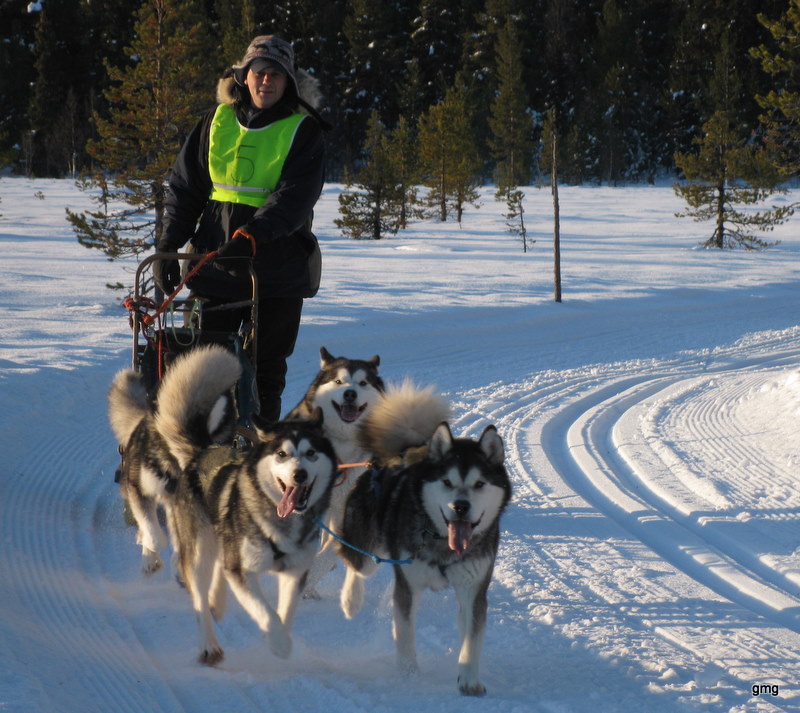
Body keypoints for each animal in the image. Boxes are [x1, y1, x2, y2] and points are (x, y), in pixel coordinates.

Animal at [336, 383, 512, 696]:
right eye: (447, 482)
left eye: (479, 484)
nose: (460, 507)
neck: (442, 543)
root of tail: (403, 453)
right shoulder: (407, 586)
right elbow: (405, 635)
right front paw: (409, 678)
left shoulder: (474, 589)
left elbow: (472, 638)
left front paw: (469, 680)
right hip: (368, 544)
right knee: (355, 563)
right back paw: (351, 600)